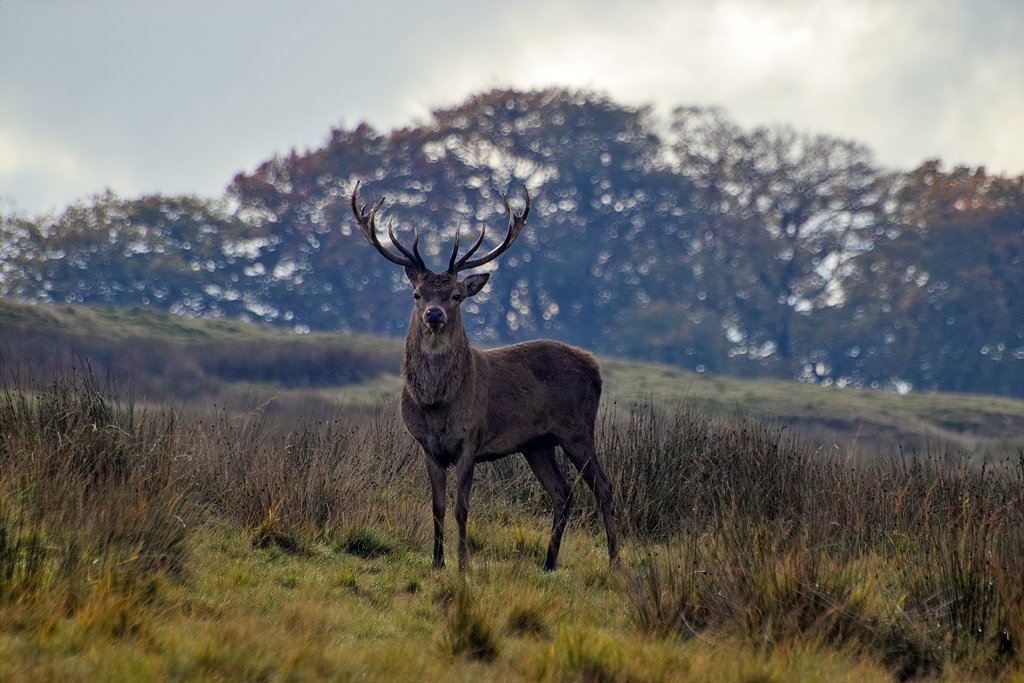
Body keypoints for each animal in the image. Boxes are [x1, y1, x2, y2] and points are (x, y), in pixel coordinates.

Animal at [348, 183, 618, 573]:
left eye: (456, 295)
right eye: (417, 294)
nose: (434, 314)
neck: (436, 403)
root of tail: (595, 366)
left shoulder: (470, 441)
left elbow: (462, 508)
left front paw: (463, 565)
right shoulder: (427, 446)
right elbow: (437, 506)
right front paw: (437, 563)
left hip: (577, 429)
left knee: (604, 487)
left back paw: (615, 561)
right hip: (537, 443)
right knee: (562, 492)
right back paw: (548, 562)